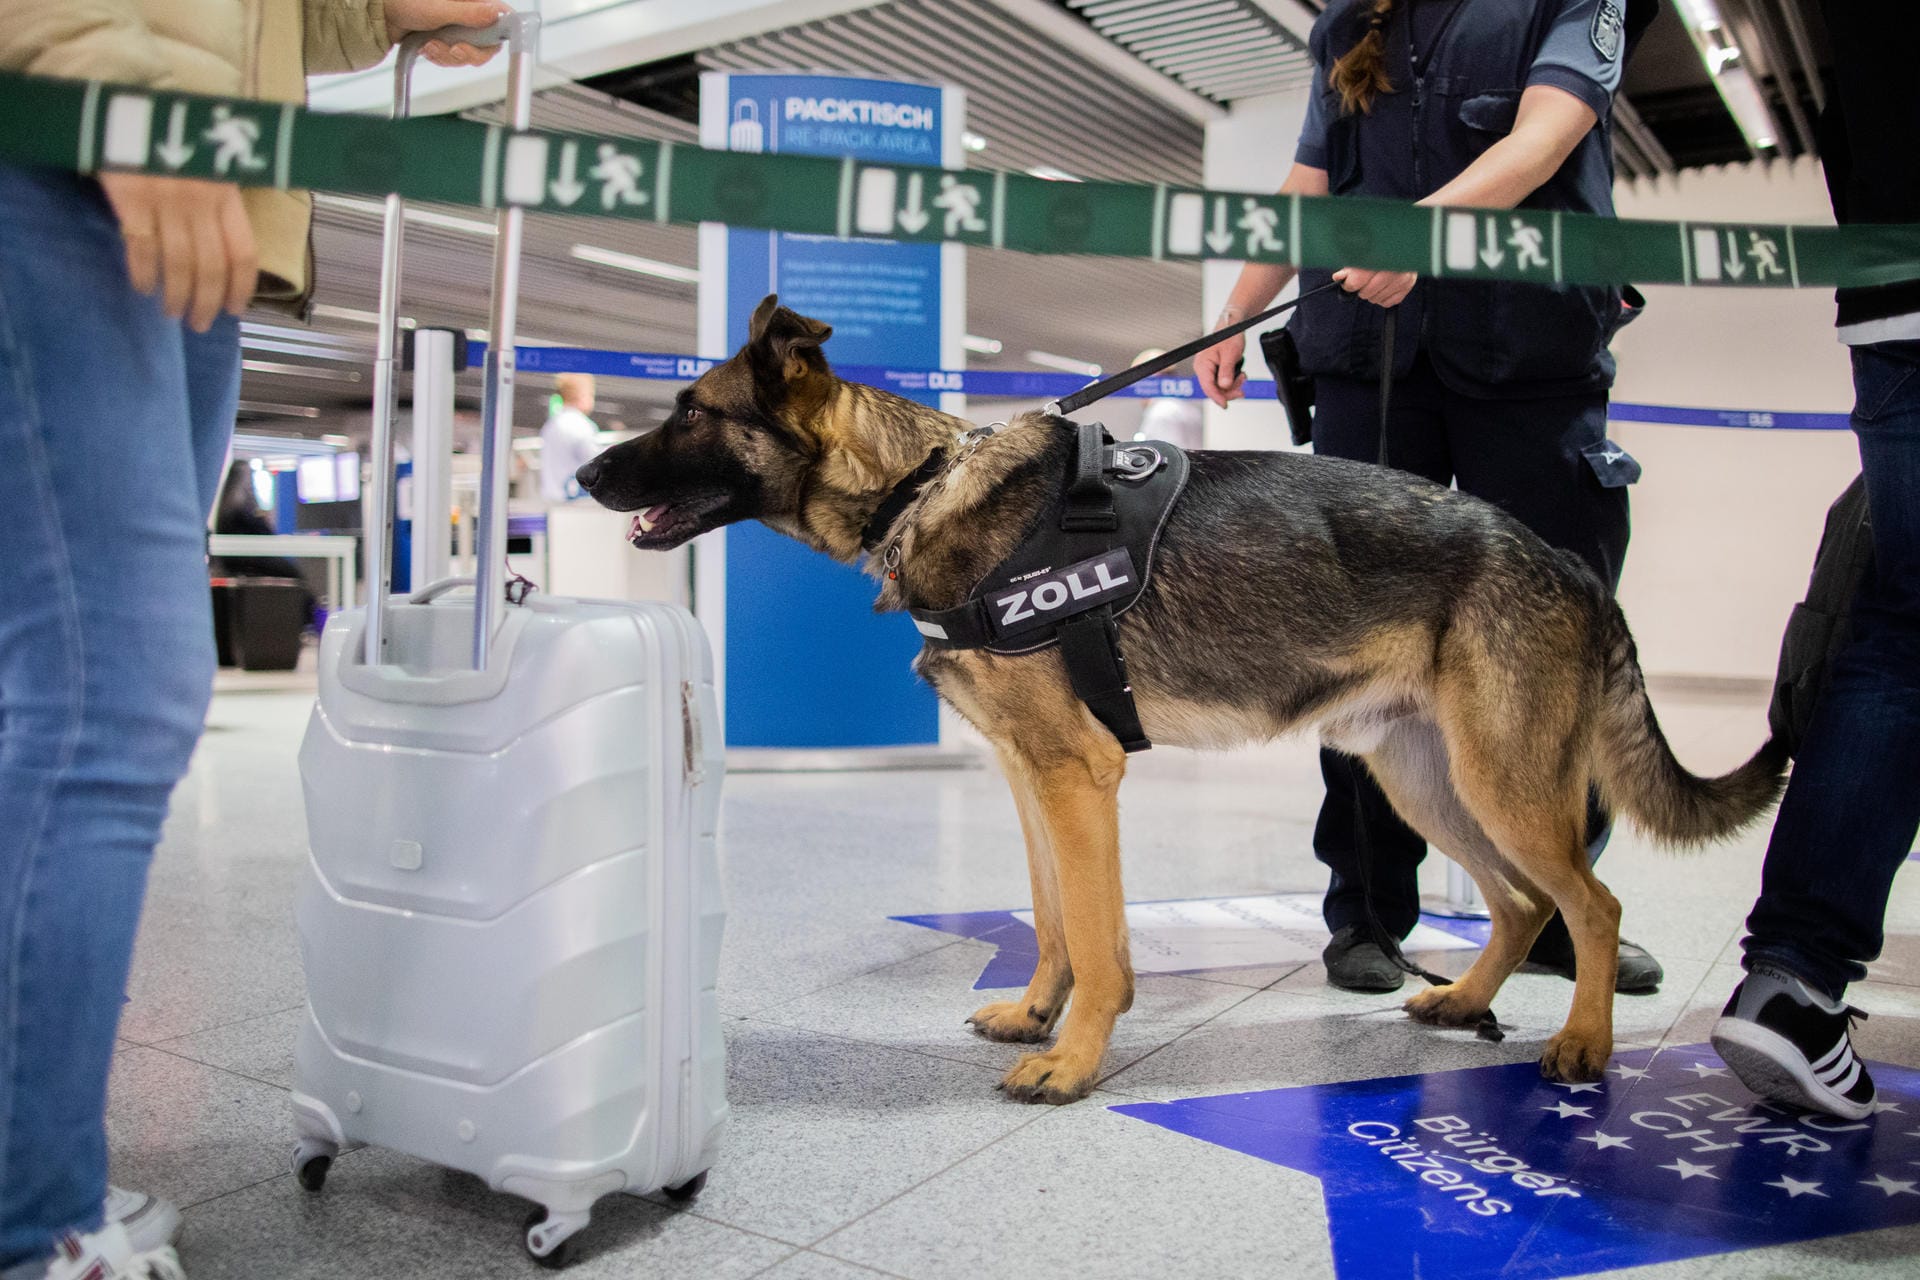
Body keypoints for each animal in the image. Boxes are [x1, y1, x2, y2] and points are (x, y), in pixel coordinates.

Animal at [572, 295, 1781, 1105]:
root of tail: (1565, 563)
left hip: (1503, 781)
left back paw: (1583, 1043)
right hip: (1429, 781)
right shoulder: (1032, 778)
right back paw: (1461, 1000)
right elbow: (1054, 918)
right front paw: (1037, 1013)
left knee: (1593, 904)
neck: (921, 487)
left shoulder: (1079, 776)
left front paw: (1073, 1060)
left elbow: (1103, 939)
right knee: (1525, 902)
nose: (581, 477)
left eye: (690, 411)